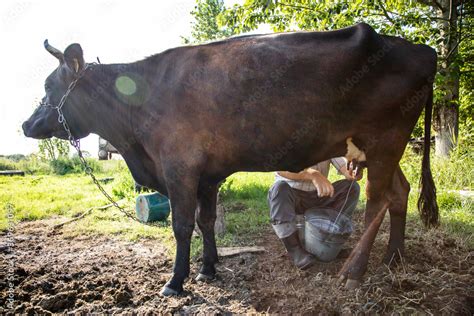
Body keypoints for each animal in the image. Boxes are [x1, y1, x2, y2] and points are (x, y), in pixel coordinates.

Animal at [21, 22, 436, 296]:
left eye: (48, 85)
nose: (26, 124)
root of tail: (423, 49)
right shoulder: (207, 175)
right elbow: (206, 221)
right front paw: (208, 269)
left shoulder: (179, 168)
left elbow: (182, 225)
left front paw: (175, 282)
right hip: (383, 149)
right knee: (400, 192)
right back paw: (394, 258)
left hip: (385, 141)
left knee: (378, 202)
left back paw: (355, 272)